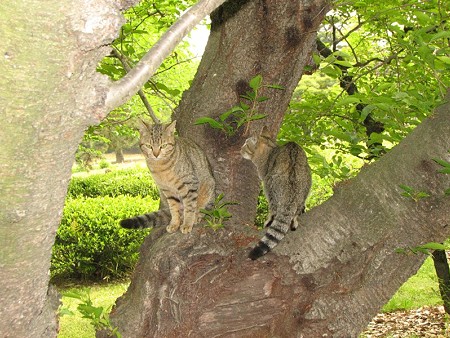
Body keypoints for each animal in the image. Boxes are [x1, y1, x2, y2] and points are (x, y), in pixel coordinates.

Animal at [241, 125, 312, 260]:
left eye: (246, 144)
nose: (240, 149)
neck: (270, 149)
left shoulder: (265, 176)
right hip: (307, 183)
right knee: (298, 207)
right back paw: (295, 217)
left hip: (271, 185)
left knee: (273, 207)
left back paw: (271, 219)